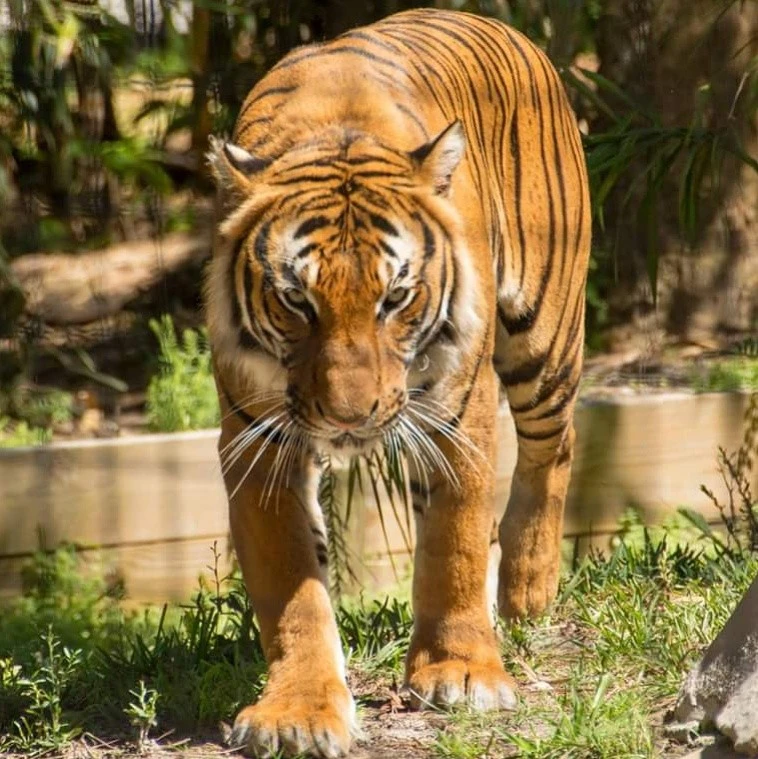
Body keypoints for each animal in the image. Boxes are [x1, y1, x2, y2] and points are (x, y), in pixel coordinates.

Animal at [206, 7, 592, 759]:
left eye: (395, 297)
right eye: (296, 301)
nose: (349, 417)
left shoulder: (459, 412)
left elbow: (455, 543)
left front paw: (463, 674)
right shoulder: (258, 438)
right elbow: (292, 589)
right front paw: (297, 712)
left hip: (544, 333)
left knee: (553, 446)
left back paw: (528, 594)